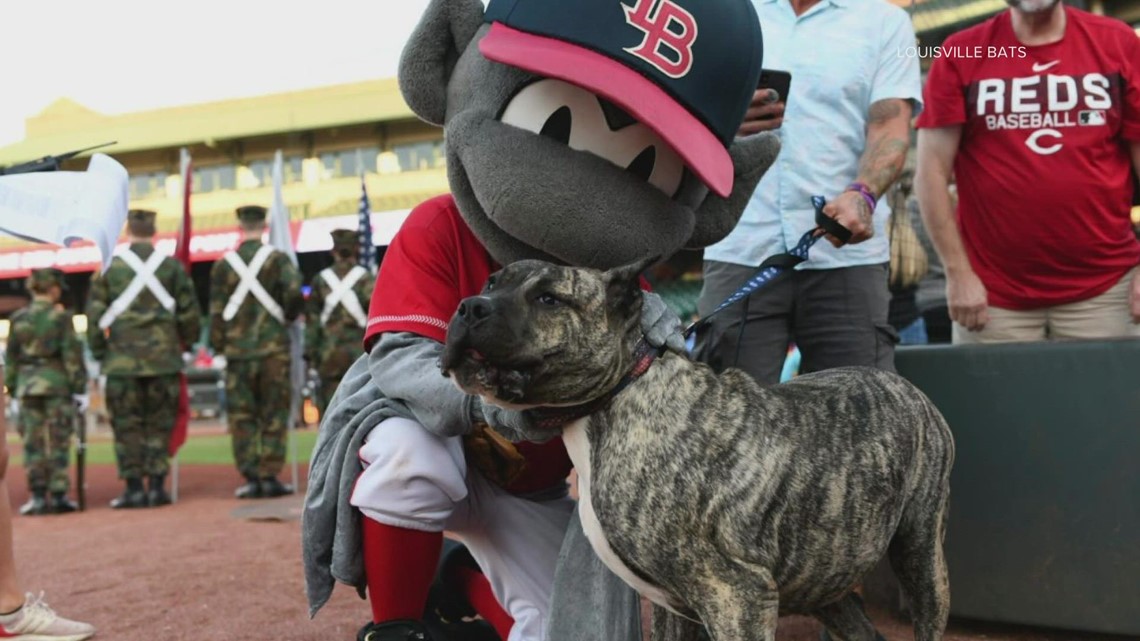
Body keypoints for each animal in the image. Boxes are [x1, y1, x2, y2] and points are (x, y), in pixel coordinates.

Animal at [440, 256, 957, 638]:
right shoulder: (676, 606)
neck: (619, 394)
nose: (469, 307)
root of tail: (904, 386)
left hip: (920, 555)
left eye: (549, 298)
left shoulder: (738, 594)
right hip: (824, 572)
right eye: (490, 282)